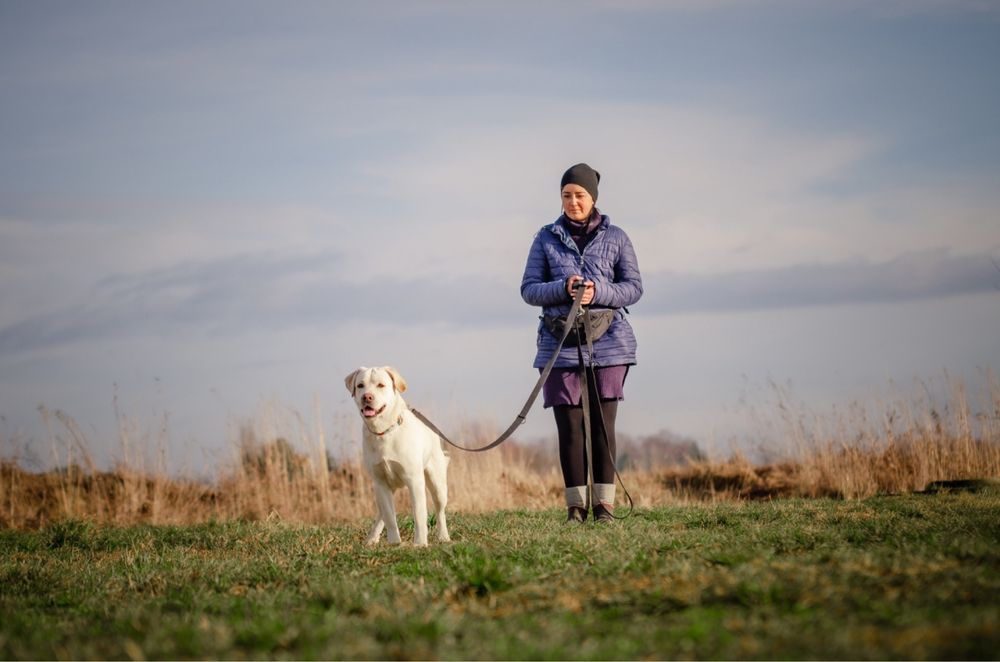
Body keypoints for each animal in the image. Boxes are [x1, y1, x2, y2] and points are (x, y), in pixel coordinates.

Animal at [346, 366, 452, 548]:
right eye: (360, 385)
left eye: (381, 385)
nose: (367, 397)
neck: (384, 431)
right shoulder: (380, 482)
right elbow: (389, 516)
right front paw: (394, 543)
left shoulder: (414, 480)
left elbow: (419, 515)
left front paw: (420, 543)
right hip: (380, 490)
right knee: (381, 513)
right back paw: (372, 538)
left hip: (437, 484)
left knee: (440, 511)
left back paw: (443, 536)